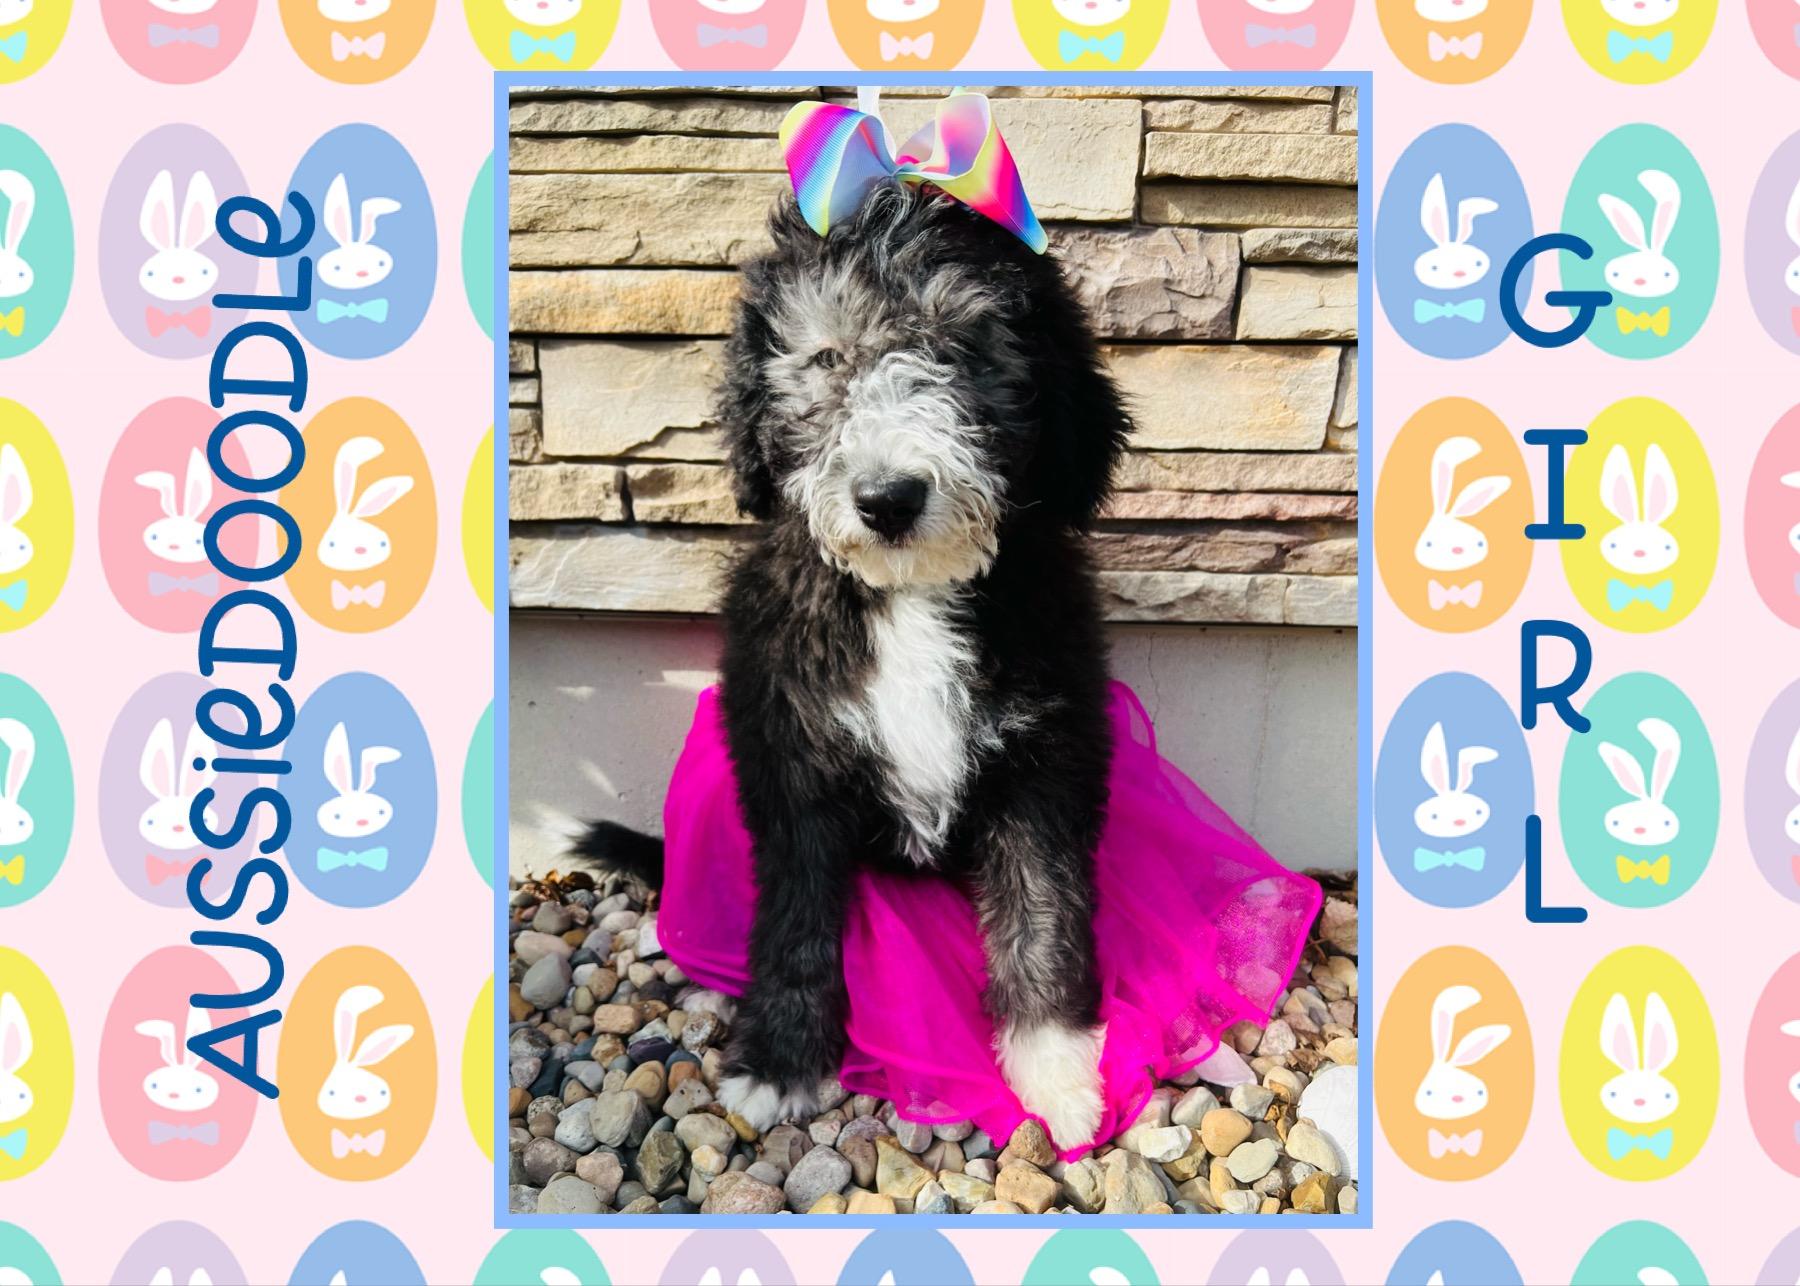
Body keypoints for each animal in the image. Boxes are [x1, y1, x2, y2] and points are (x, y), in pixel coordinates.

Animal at [574, 180, 1132, 1150]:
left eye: (964, 351)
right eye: (828, 357)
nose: (888, 498)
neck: (909, 595)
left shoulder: (1047, 755)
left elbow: (1045, 905)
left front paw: (1056, 1069)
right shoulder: (791, 756)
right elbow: (796, 916)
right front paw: (781, 1063)